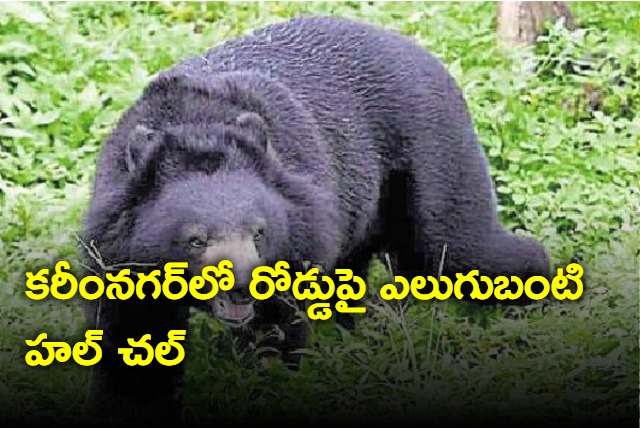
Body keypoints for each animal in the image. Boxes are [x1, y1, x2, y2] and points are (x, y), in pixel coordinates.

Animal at [80, 15, 550, 425]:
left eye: (259, 233)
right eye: (196, 240)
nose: (243, 285)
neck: (195, 124)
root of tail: (427, 53)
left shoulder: (297, 239)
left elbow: (275, 335)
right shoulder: (119, 255)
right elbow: (135, 351)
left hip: (431, 159)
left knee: (455, 250)